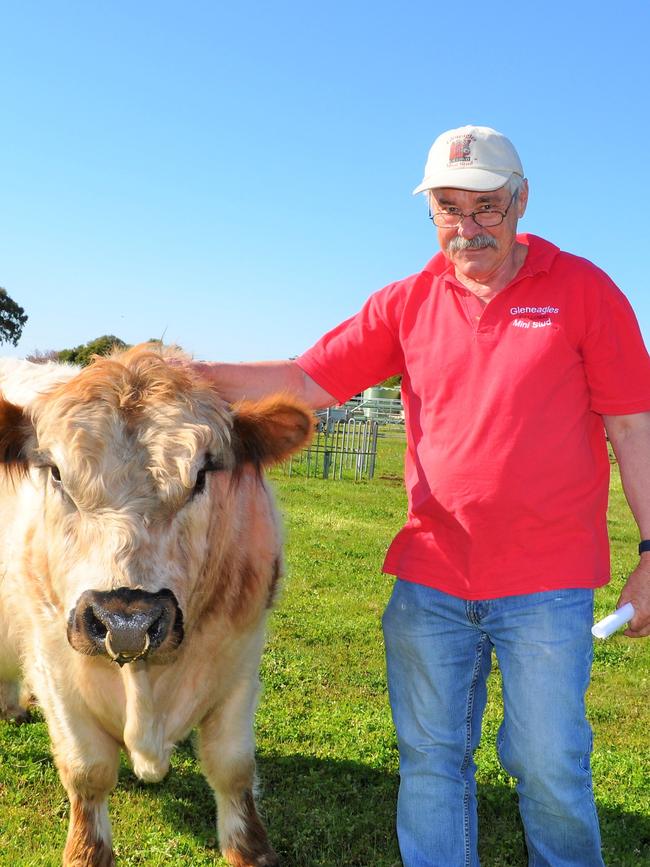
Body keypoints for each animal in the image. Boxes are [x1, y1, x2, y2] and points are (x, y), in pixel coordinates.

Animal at [0, 348, 312, 867]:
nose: (126, 621)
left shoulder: (241, 660)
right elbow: (86, 769)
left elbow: (232, 765)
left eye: (202, 474)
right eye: (56, 472)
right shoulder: (54, 666)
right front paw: (85, 851)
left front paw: (250, 849)